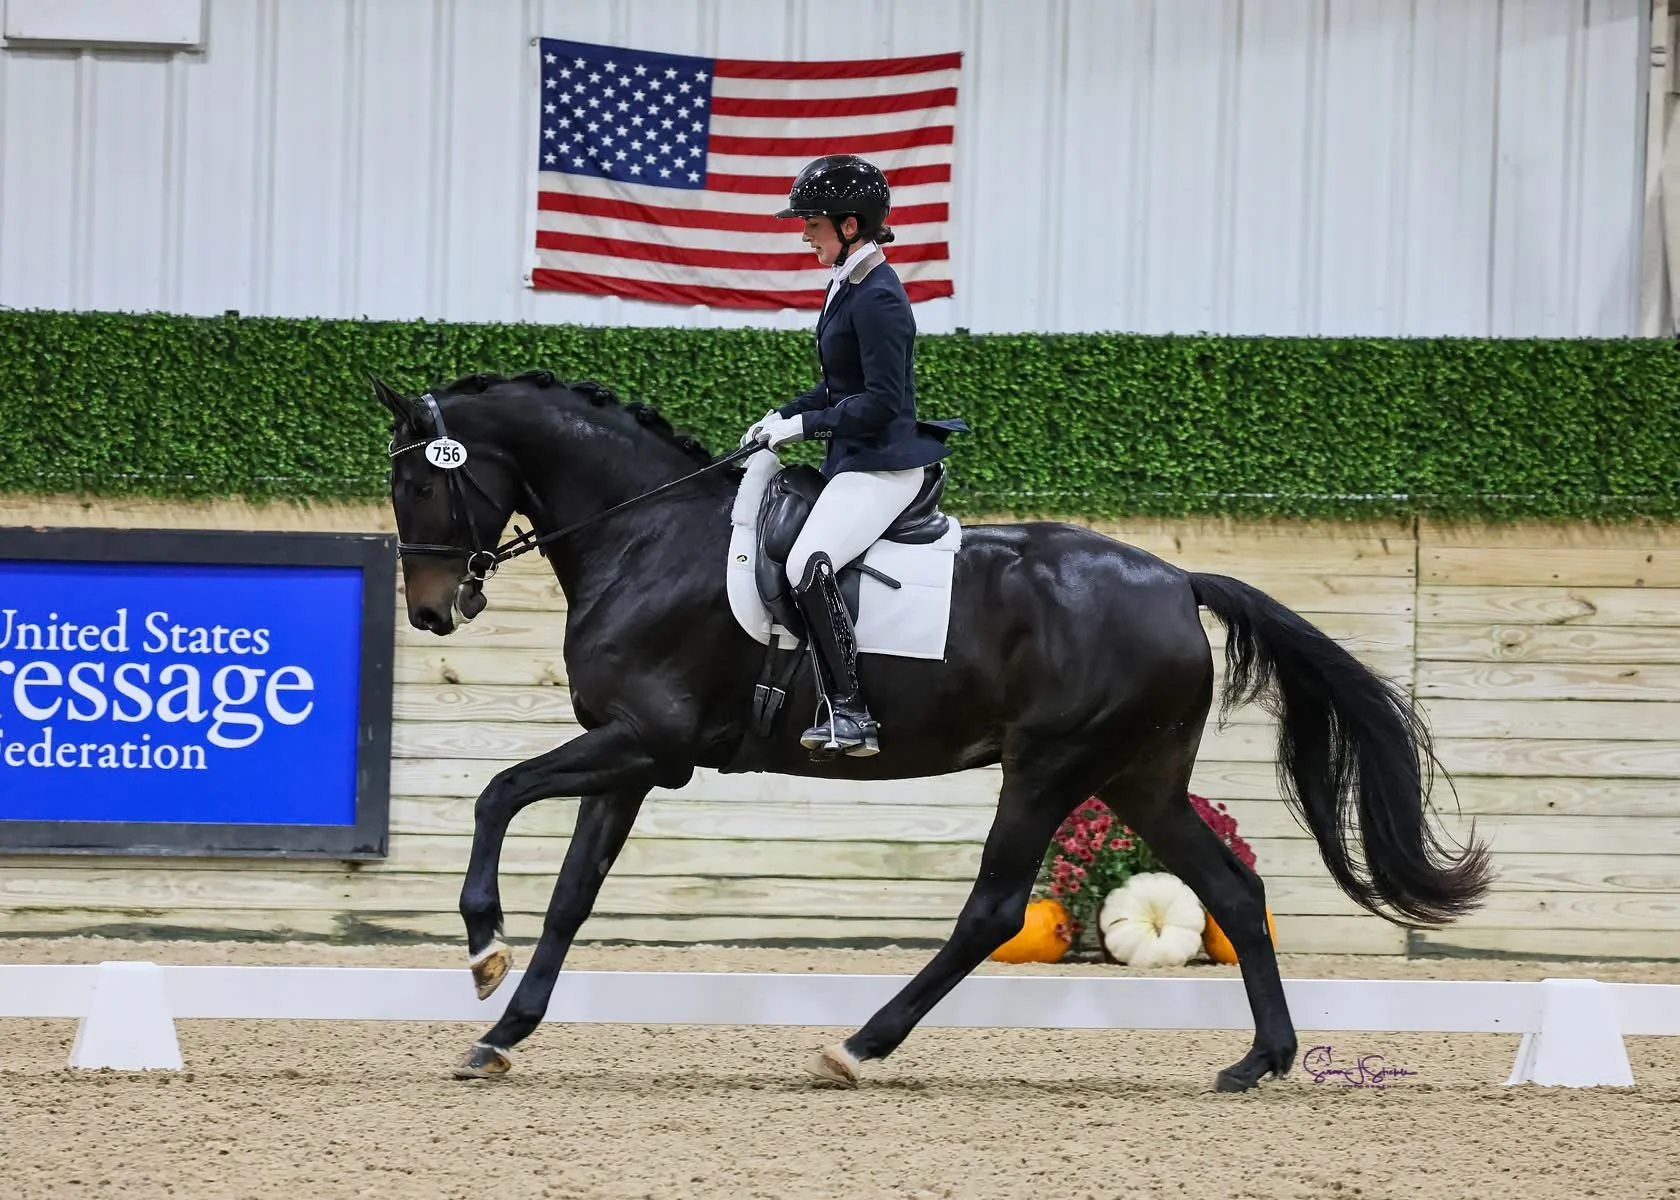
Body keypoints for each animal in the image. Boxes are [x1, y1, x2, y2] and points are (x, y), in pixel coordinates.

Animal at [370, 367, 1492, 1092]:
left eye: (420, 481)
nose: (430, 612)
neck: (644, 535)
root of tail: (1177, 579)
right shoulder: (631, 759)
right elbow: (571, 899)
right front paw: (502, 1032)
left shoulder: (650, 744)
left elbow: (496, 792)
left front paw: (481, 947)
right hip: (1138, 777)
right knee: (1232, 891)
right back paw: (1261, 1060)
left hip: (1050, 767)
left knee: (994, 912)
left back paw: (857, 1047)